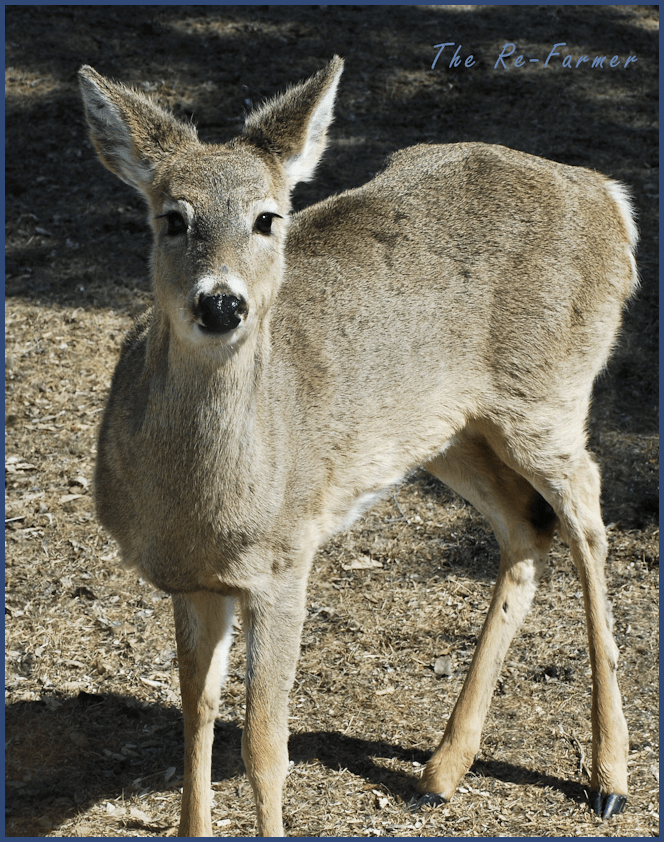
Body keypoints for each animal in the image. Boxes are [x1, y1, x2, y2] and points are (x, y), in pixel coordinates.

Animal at [79, 56, 637, 836]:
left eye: (267, 218)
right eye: (172, 218)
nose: (221, 303)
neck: (208, 510)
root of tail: (607, 197)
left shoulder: (286, 558)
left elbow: (264, 744)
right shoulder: (193, 580)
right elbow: (196, 720)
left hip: (549, 392)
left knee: (587, 509)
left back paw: (610, 778)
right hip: (445, 428)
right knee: (527, 525)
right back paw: (441, 771)